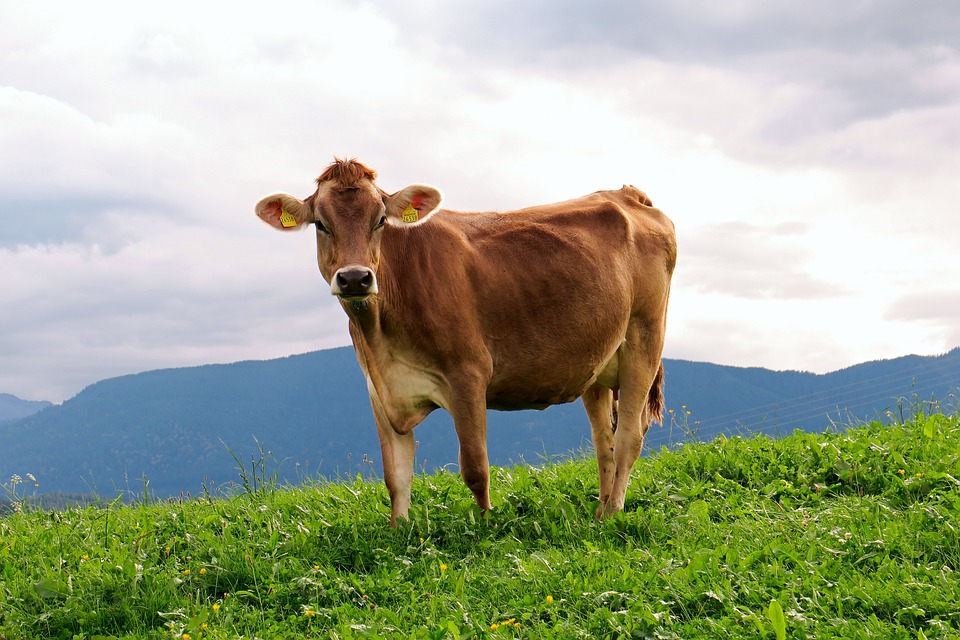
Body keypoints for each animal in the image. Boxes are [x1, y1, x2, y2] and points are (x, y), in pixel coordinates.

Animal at [255, 159, 676, 526]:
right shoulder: (379, 389)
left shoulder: (468, 374)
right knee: (604, 440)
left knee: (629, 436)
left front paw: (486, 526)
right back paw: (601, 508)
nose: (356, 278)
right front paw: (398, 531)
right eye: (321, 224)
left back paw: (613, 512)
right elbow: (396, 475)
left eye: (380, 221)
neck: (379, 336)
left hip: (645, 337)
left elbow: (475, 467)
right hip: (597, 362)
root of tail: (627, 193)